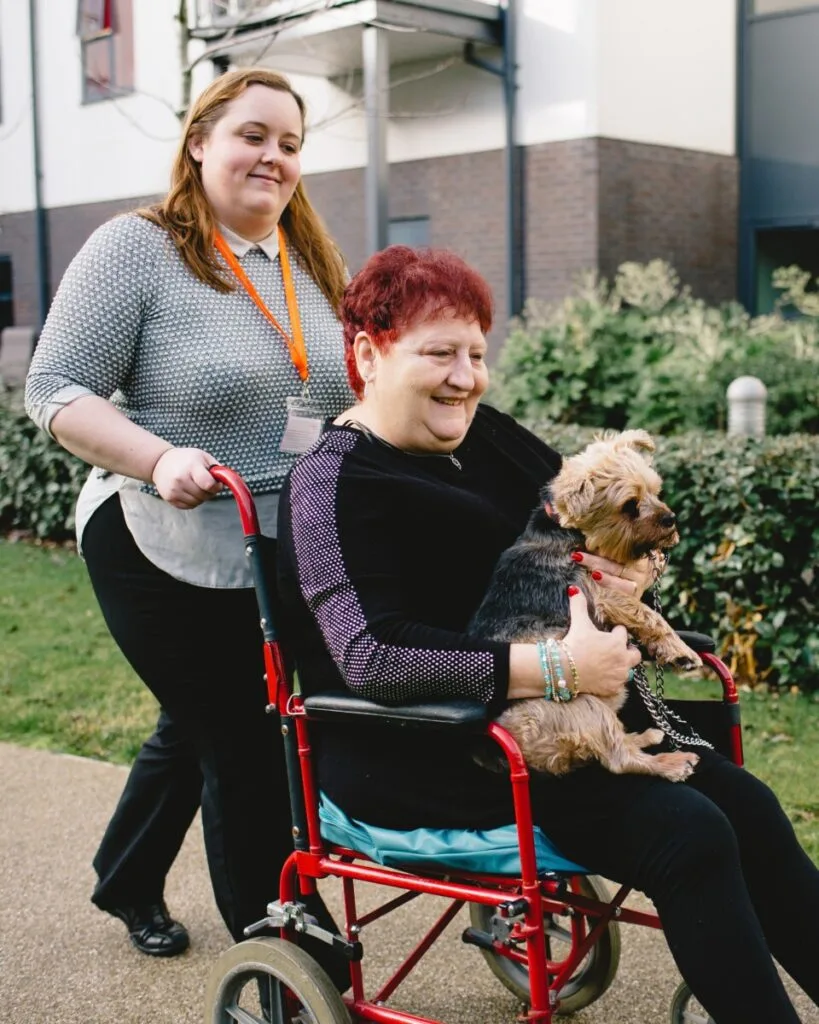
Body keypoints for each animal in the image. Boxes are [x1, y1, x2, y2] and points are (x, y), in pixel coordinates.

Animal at [470, 428, 700, 778]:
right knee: (619, 758)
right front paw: (681, 652)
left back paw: (645, 736)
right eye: (630, 506)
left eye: (656, 491)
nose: (670, 519)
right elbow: (651, 616)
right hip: (578, 704)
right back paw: (670, 763)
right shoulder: (604, 593)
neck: (568, 532)